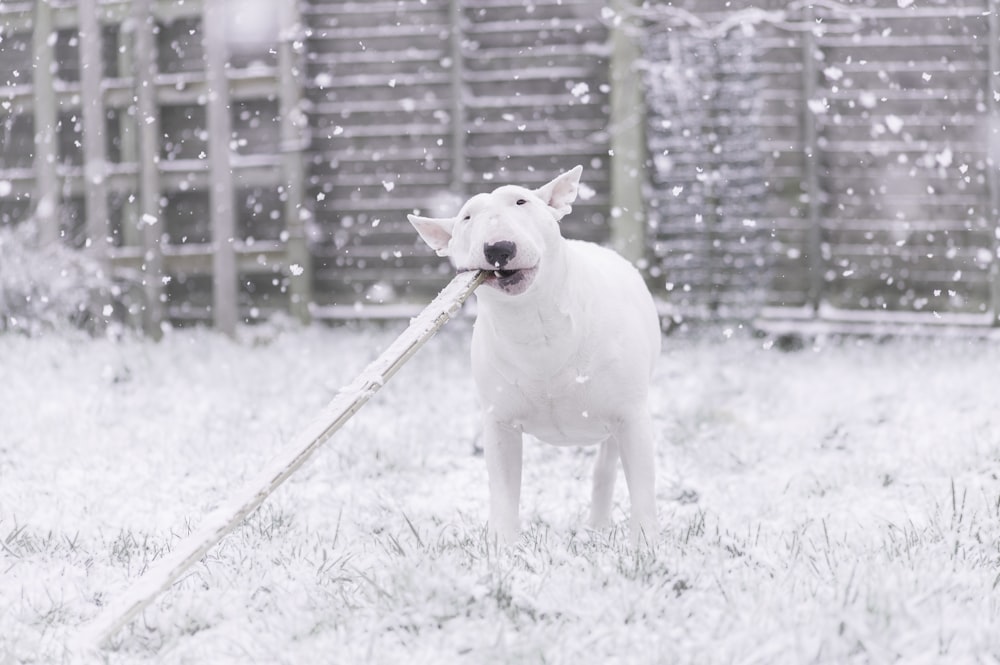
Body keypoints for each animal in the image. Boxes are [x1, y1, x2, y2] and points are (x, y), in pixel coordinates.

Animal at [410, 166, 660, 544]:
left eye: (521, 201)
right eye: (467, 217)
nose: (498, 248)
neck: (535, 327)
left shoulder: (631, 416)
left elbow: (643, 490)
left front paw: (646, 548)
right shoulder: (499, 423)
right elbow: (503, 492)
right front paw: (502, 548)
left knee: (605, 467)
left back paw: (598, 526)